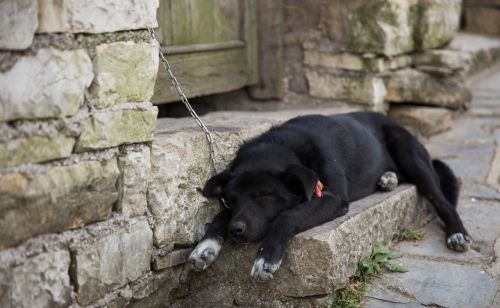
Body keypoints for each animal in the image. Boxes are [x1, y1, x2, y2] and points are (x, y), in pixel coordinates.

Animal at [189, 111, 470, 282]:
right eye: (230, 199)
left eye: (264, 195)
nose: (236, 231)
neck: (284, 145)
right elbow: (219, 217)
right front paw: (205, 247)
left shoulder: (332, 198)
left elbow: (288, 215)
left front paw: (266, 257)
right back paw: (388, 178)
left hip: (411, 156)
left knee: (443, 201)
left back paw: (457, 233)